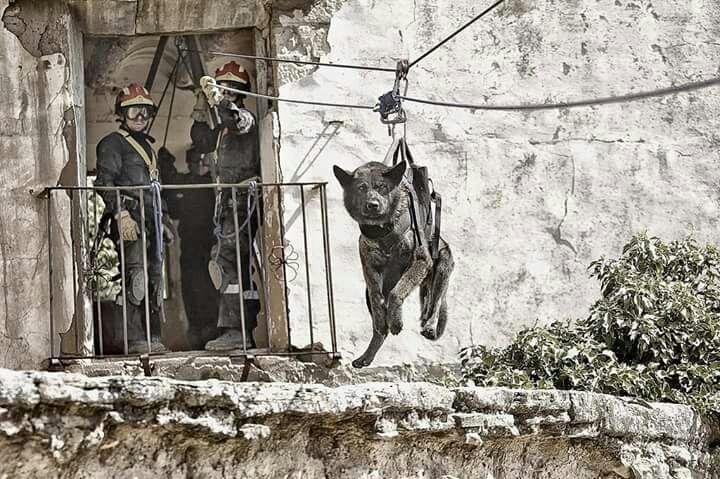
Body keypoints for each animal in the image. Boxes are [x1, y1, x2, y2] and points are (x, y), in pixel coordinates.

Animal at [334, 160, 454, 368]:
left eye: (382, 187)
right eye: (361, 188)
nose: (373, 205)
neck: (382, 230)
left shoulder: (421, 261)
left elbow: (397, 293)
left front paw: (396, 320)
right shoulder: (370, 269)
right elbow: (377, 301)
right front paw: (384, 320)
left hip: (441, 271)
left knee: (435, 303)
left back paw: (429, 326)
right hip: (368, 293)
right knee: (379, 330)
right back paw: (368, 354)